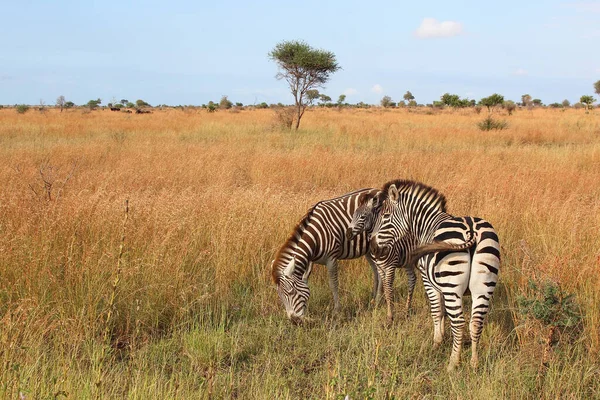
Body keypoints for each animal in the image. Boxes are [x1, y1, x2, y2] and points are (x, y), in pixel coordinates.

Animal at [270, 188, 386, 324]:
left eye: (291, 292)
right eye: (280, 296)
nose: (294, 321)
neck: (315, 236)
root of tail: (377, 190)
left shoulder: (331, 259)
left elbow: (333, 283)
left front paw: (337, 310)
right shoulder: (309, 261)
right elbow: (305, 282)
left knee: (380, 270)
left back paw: (378, 300)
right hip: (368, 250)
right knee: (375, 270)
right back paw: (373, 298)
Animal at [350, 180, 500, 370]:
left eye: (385, 217)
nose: (375, 247)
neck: (426, 224)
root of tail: (471, 230)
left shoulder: (428, 279)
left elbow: (436, 311)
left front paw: (436, 342)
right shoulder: (440, 284)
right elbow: (442, 311)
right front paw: (442, 336)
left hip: (453, 285)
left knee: (459, 323)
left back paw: (453, 363)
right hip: (484, 286)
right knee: (476, 323)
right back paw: (474, 362)